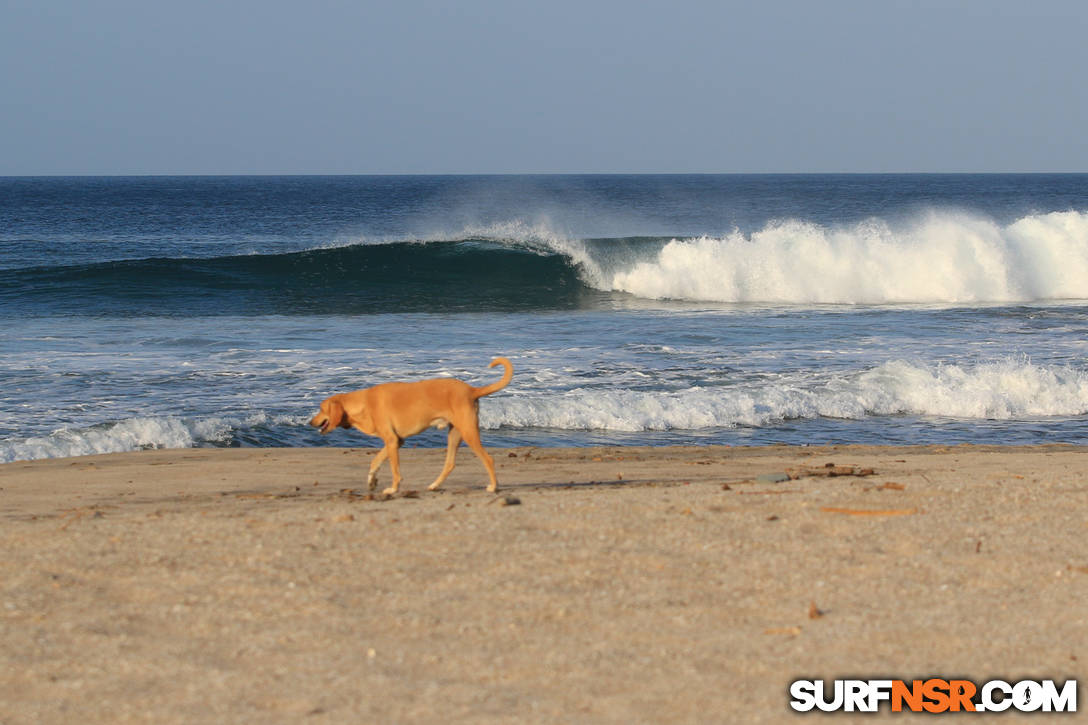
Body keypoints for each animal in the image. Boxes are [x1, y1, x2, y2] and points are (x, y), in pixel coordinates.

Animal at [306, 357, 509, 494]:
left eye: (321, 409)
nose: (310, 422)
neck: (363, 403)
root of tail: (472, 390)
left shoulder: (392, 441)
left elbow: (395, 470)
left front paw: (393, 488)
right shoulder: (396, 441)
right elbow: (375, 461)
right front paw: (371, 480)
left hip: (468, 432)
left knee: (488, 459)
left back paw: (494, 486)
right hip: (454, 435)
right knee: (450, 464)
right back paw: (434, 485)